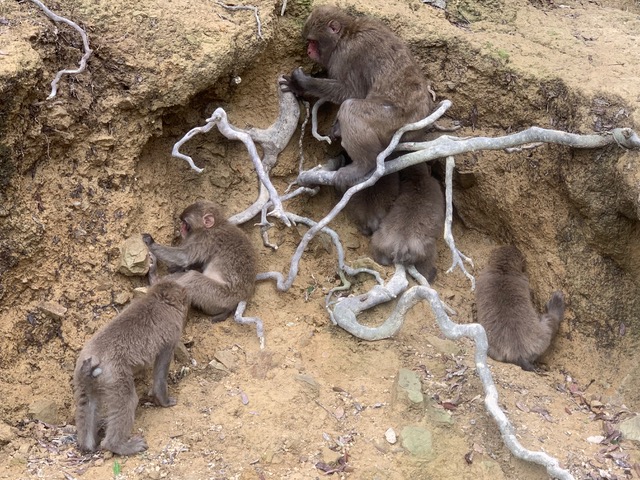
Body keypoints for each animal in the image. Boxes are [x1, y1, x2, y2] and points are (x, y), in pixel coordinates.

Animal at [73, 280, 188, 456]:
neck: (158, 300)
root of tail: (93, 358)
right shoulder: (172, 333)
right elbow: (161, 370)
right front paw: (164, 400)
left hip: (83, 376)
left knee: (88, 402)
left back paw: (87, 445)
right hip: (114, 374)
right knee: (128, 400)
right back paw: (117, 445)